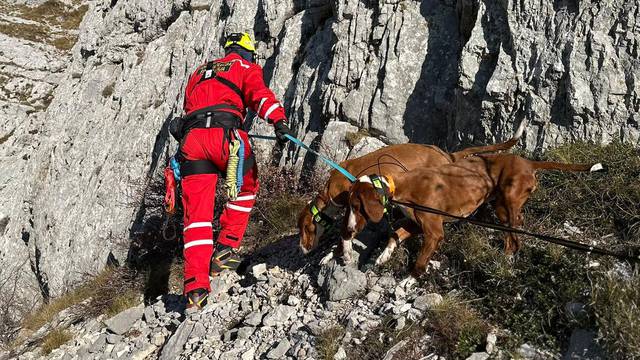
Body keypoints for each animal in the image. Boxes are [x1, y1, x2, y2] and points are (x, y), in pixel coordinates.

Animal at [340, 153, 604, 276]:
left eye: (355, 206)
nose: (349, 230)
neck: (400, 186)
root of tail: (528, 162)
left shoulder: (434, 233)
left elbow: (419, 263)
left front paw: (406, 283)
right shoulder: (416, 223)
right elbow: (394, 235)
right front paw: (383, 257)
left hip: (509, 201)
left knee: (515, 239)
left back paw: (505, 263)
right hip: (501, 207)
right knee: (516, 228)